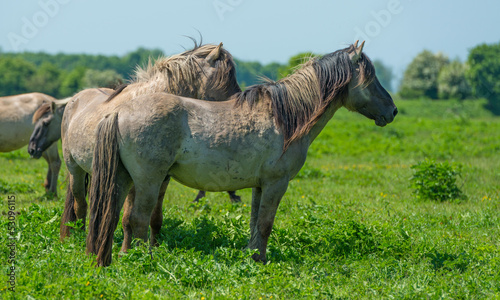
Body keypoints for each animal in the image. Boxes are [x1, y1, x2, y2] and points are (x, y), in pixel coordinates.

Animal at [86, 41, 398, 266]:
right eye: (370, 78)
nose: (393, 110)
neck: (285, 118)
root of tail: (119, 112)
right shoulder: (276, 184)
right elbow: (266, 224)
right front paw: (261, 261)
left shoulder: (260, 186)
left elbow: (254, 224)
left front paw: (252, 257)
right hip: (148, 181)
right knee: (137, 219)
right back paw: (141, 261)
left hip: (124, 179)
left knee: (118, 218)